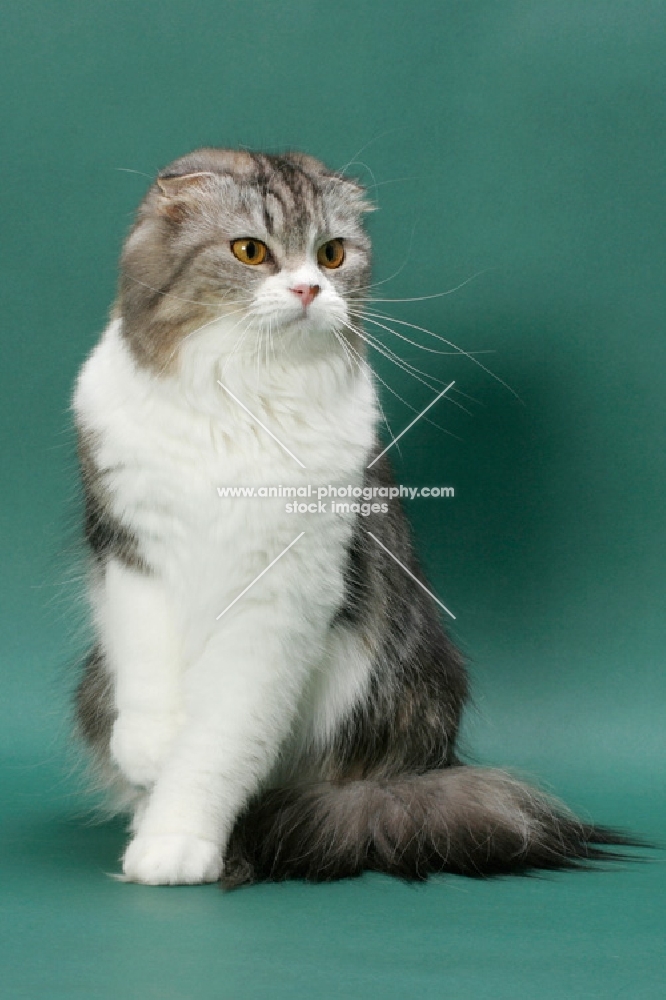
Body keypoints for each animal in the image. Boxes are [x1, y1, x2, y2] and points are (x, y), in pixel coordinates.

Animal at [72, 148, 628, 884]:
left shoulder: (282, 594)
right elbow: (149, 683)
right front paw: (148, 758)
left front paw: (176, 845)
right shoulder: (132, 555)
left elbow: (218, 743)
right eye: (251, 251)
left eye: (332, 254)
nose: (310, 290)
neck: (242, 398)